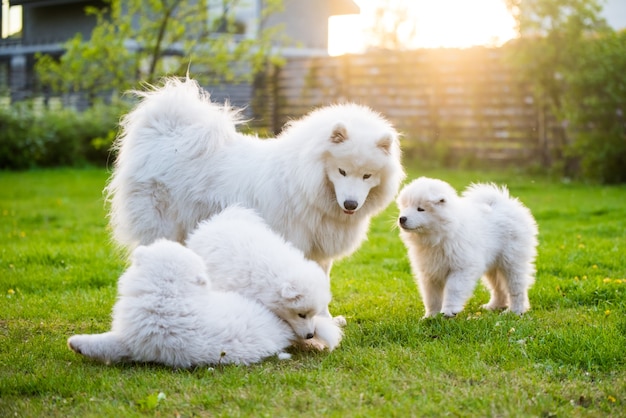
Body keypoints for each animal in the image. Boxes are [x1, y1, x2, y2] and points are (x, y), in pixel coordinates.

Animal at [394, 176, 536, 316]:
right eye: (405, 207)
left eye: (420, 209)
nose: (402, 218)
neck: (440, 237)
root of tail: (504, 202)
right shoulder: (430, 273)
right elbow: (431, 297)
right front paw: (431, 316)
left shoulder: (462, 268)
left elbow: (453, 289)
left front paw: (449, 310)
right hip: (493, 265)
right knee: (498, 287)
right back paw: (494, 306)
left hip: (512, 261)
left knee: (517, 287)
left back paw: (515, 311)